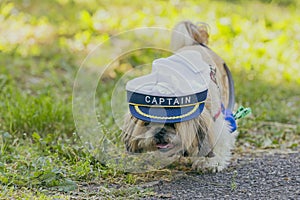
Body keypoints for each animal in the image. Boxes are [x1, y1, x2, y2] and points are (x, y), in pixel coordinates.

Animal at [121, 21, 237, 173]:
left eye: (173, 124)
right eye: (147, 123)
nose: (159, 132)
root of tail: (195, 44)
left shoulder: (216, 123)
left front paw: (210, 162)